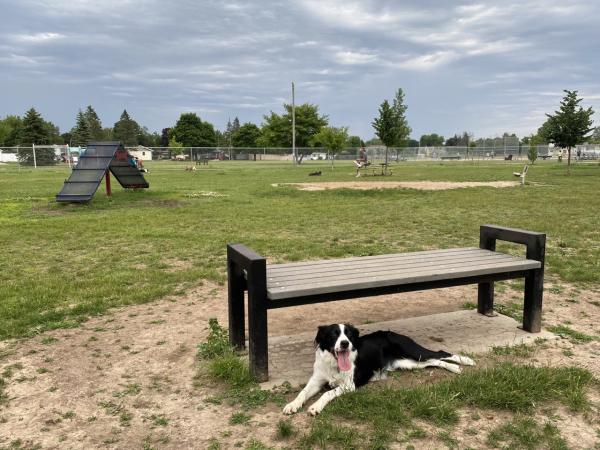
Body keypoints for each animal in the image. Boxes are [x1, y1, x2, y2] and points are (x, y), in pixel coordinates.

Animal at [284, 324, 476, 414]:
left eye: (349, 335)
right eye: (333, 335)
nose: (345, 343)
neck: (334, 364)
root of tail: (394, 333)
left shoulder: (349, 385)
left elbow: (327, 393)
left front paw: (315, 407)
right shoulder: (316, 381)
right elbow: (302, 392)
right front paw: (292, 405)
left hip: (415, 353)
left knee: (440, 353)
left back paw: (464, 361)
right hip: (409, 363)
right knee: (436, 361)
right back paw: (454, 368)